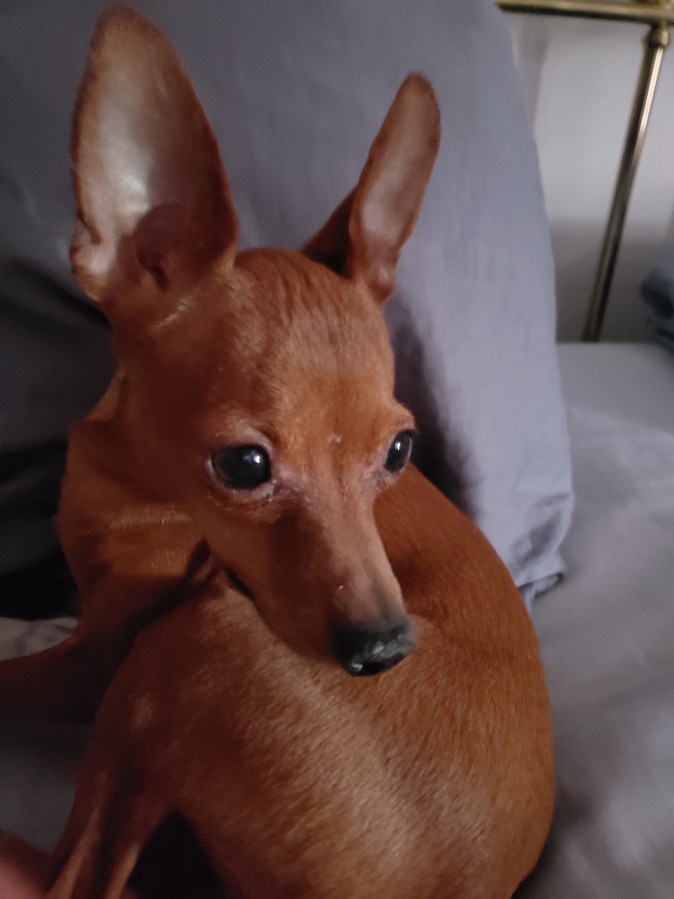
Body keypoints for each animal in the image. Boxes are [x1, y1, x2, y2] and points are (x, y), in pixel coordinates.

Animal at [2, 7, 554, 896]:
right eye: (245, 466)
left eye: (399, 451)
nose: (384, 649)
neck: (125, 472)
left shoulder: (96, 661)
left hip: (190, 645)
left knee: (75, 875)